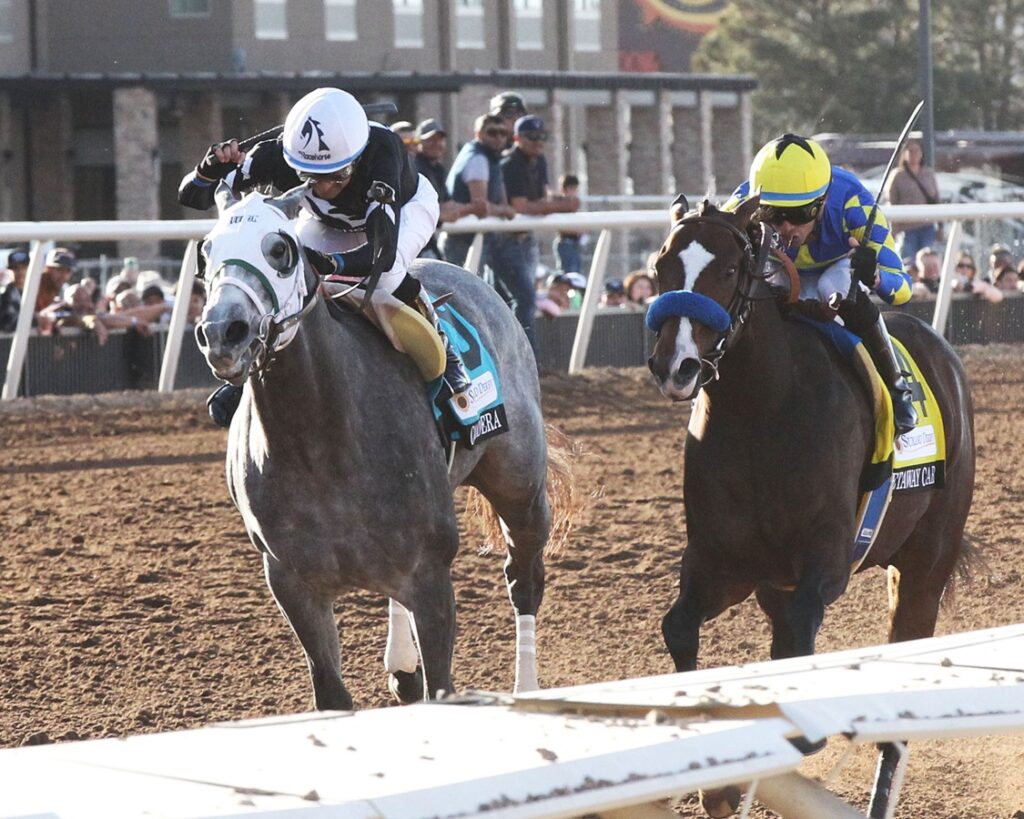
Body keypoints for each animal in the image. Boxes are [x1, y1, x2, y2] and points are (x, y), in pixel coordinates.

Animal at [193, 185, 569, 708]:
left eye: (281, 249)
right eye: (206, 251)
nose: (222, 332)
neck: (319, 442)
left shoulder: (431, 574)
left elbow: (442, 685)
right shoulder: (292, 582)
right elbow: (331, 693)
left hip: (520, 487)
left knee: (525, 582)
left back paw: (526, 688)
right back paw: (403, 666)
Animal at [647, 196, 974, 810]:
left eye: (729, 269)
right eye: (661, 267)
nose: (674, 366)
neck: (760, 412)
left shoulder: (827, 559)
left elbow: (801, 639)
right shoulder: (723, 562)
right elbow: (679, 626)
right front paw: (718, 783)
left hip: (926, 563)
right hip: (776, 584)